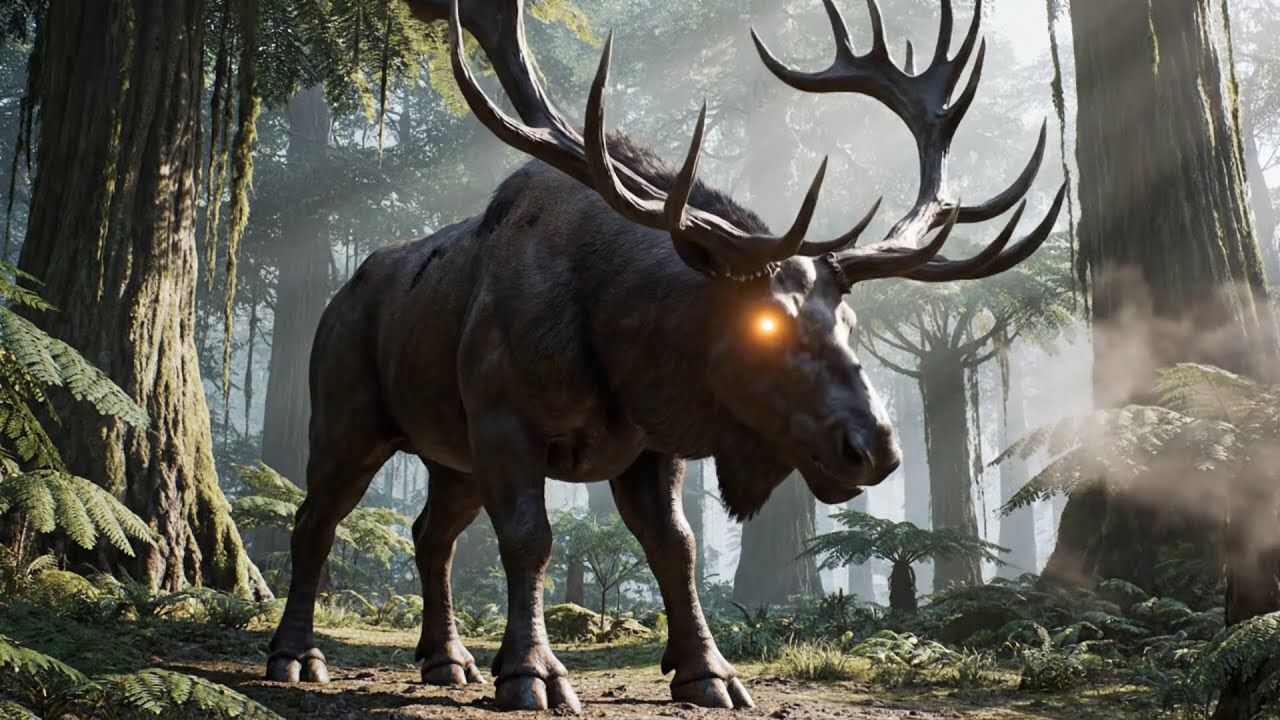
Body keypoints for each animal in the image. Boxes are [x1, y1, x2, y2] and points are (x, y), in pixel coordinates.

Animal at [264, 0, 1067, 713]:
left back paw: (446, 658)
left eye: (849, 320)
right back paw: (296, 656)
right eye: (764, 327)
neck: (617, 332)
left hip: (449, 456)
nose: (874, 449)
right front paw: (531, 674)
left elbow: (675, 548)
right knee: (315, 521)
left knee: (431, 535)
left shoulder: (650, 447)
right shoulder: (504, 423)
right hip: (348, 420)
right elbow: (530, 540)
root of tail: (341, 294)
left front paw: (708, 673)